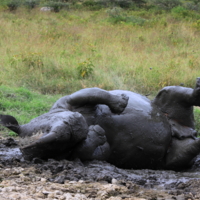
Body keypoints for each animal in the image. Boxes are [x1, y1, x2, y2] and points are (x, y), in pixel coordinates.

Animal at [0, 78, 200, 170]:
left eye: (47, 128)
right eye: (61, 145)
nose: (73, 128)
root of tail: (189, 129)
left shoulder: (66, 103)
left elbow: (95, 93)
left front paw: (121, 103)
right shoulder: (77, 154)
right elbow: (91, 150)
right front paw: (97, 133)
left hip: (163, 105)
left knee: (170, 92)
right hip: (171, 154)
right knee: (178, 156)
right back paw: (195, 140)